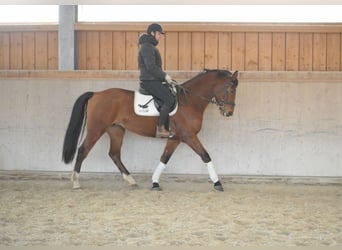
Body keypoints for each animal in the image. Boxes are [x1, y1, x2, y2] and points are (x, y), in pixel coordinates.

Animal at [62, 68, 238, 191]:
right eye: (230, 88)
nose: (229, 113)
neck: (190, 101)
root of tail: (96, 94)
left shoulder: (175, 138)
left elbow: (164, 158)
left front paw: (154, 182)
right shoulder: (189, 136)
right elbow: (205, 155)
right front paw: (217, 183)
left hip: (116, 130)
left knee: (114, 154)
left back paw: (131, 181)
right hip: (96, 129)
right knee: (82, 151)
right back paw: (76, 182)